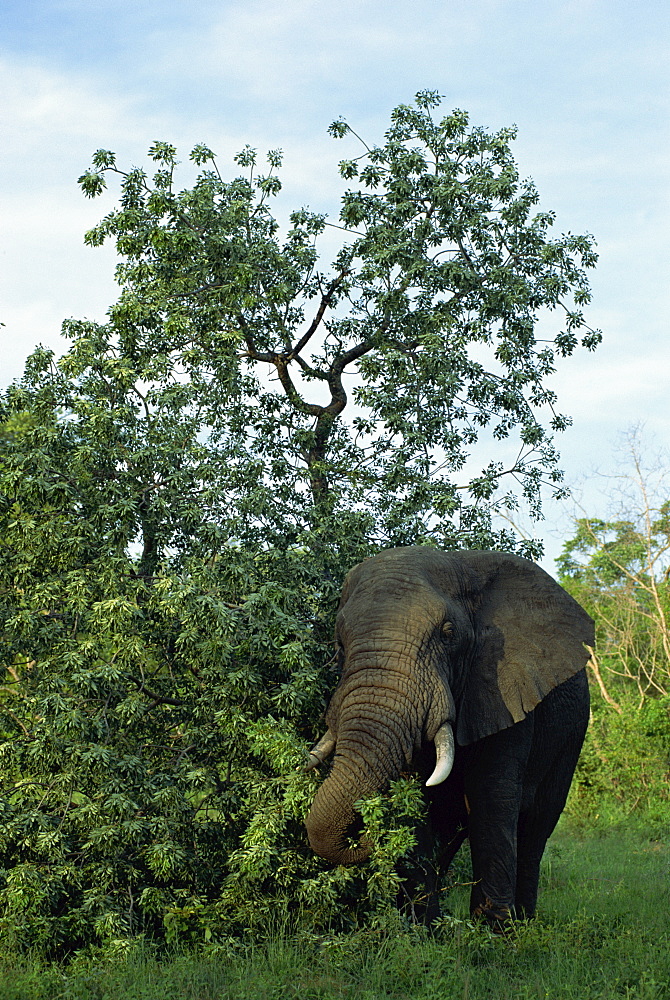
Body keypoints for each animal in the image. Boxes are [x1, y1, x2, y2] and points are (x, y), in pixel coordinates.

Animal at [304, 548, 592, 928]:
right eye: (339, 644)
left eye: (448, 633)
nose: (363, 834)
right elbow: (417, 800)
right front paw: (421, 930)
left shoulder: (502, 687)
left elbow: (491, 796)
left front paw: (491, 932)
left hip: (571, 734)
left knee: (536, 828)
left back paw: (524, 924)